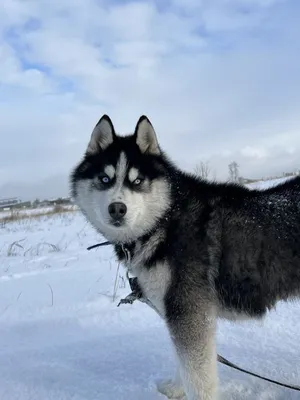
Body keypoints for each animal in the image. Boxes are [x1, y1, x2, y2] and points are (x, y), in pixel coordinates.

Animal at [71, 114, 300, 398]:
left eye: (138, 181)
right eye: (104, 179)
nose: (117, 209)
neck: (166, 219)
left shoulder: (188, 310)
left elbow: (197, 376)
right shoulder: (180, 312)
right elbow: (185, 363)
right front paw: (175, 388)